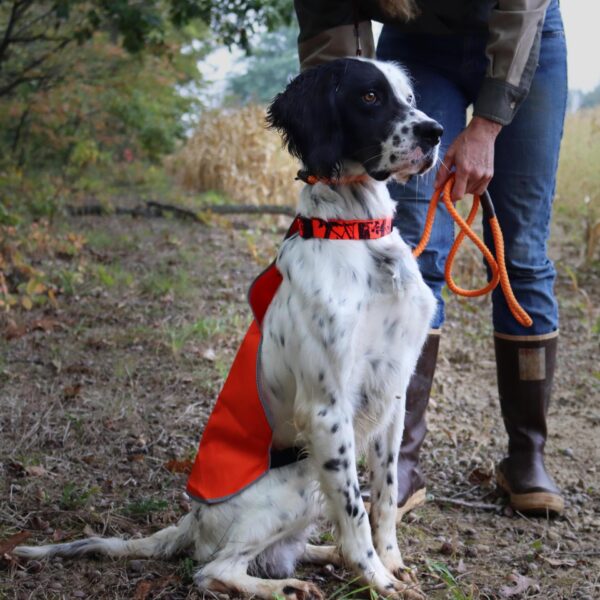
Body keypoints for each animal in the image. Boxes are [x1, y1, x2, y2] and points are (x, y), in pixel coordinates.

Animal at [15, 57, 440, 600]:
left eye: (409, 96)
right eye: (369, 96)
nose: (435, 132)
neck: (358, 236)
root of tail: (191, 519)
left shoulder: (393, 392)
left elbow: (383, 497)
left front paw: (392, 564)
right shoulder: (327, 409)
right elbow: (355, 511)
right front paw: (379, 580)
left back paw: (322, 557)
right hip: (298, 478)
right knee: (214, 568)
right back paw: (288, 586)